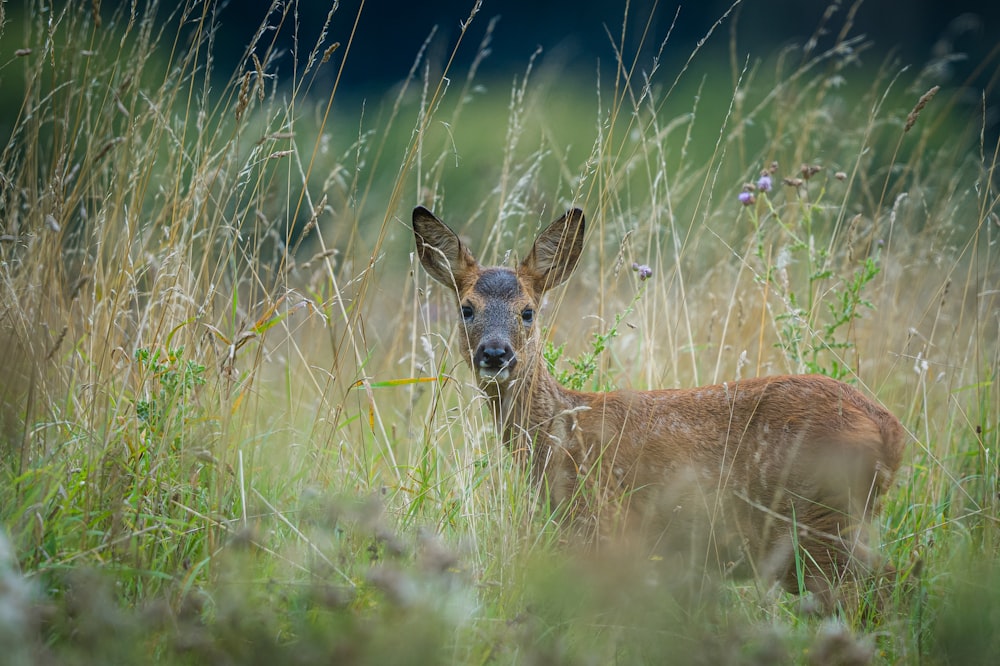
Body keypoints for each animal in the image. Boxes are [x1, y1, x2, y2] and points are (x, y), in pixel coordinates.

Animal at [410, 204, 912, 596]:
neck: (561, 435)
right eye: (466, 308)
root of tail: (891, 430)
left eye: (528, 311)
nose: (495, 354)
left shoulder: (606, 523)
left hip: (818, 523)